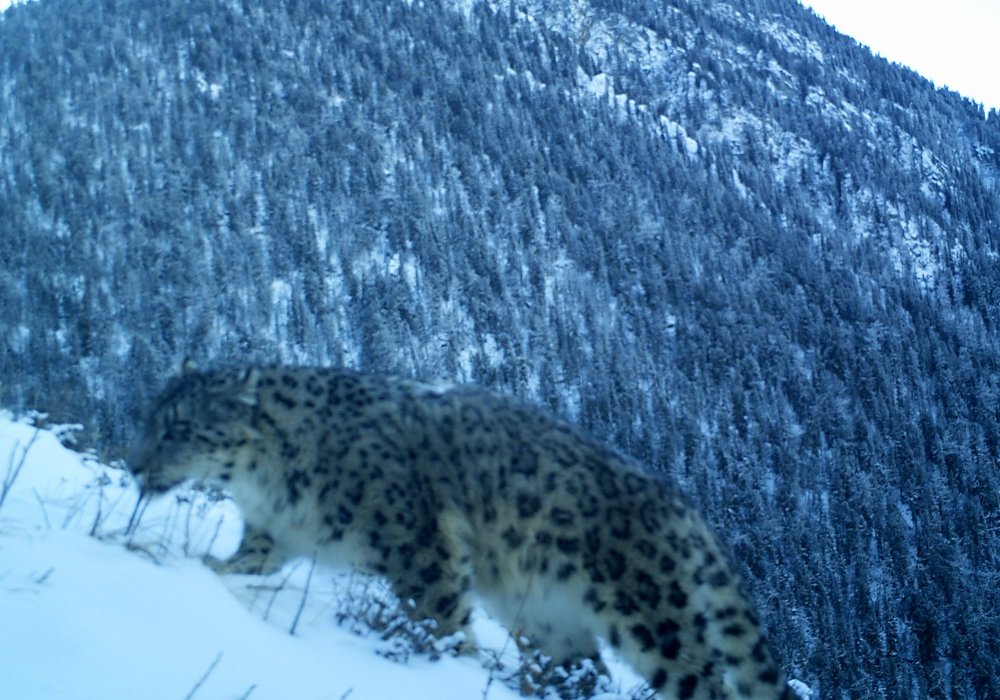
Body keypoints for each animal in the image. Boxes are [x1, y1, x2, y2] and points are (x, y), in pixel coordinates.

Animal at [131, 364, 796, 696]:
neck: (266, 485)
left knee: (706, 684)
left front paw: (438, 663)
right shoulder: (274, 533)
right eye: (150, 418)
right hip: (549, 620)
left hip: (655, 620)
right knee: (586, 670)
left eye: (179, 426)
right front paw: (199, 568)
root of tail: (684, 504)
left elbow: (438, 614)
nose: (135, 465)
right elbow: (246, 562)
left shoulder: (416, 542)